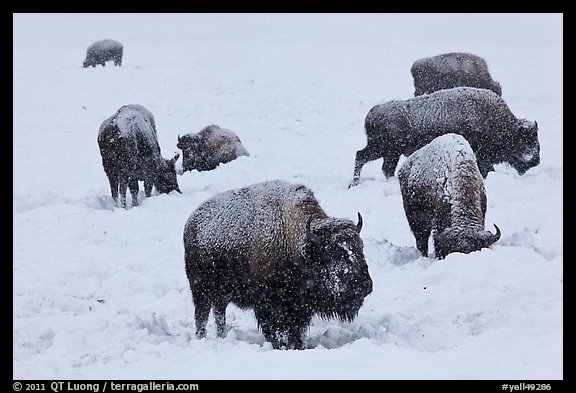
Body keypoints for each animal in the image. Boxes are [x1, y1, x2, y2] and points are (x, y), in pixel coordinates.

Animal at [184, 179, 374, 348]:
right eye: (333, 252)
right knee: (202, 316)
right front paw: (282, 346)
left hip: (221, 293)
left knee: (218, 313)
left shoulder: (300, 307)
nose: (365, 285)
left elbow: (297, 331)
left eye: (361, 247)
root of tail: (191, 222)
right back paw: (202, 338)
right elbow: (277, 331)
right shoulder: (270, 305)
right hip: (200, 289)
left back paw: (222, 336)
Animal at [348, 86, 544, 187]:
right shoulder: (481, 157)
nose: (536, 160)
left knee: (382, 167)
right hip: (382, 149)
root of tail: (372, 113)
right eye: (527, 140)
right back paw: (354, 184)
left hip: (389, 153)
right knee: (361, 156)